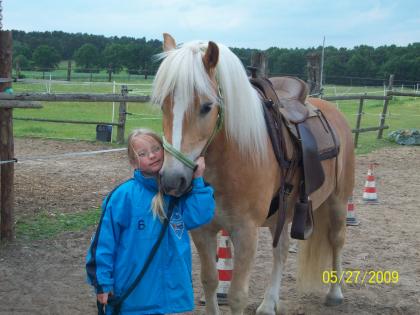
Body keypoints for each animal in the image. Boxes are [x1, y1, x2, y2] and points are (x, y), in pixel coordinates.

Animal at [151, 33, 354, 314]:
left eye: (207, 106)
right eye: (163, 104)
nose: (172, 180)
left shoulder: (245, 233)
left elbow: (237, 295)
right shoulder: (203, 231)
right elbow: (210, 282)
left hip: (337, 202)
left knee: (337, 240)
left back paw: (335, 293)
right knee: (281, 250)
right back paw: (269, 303)